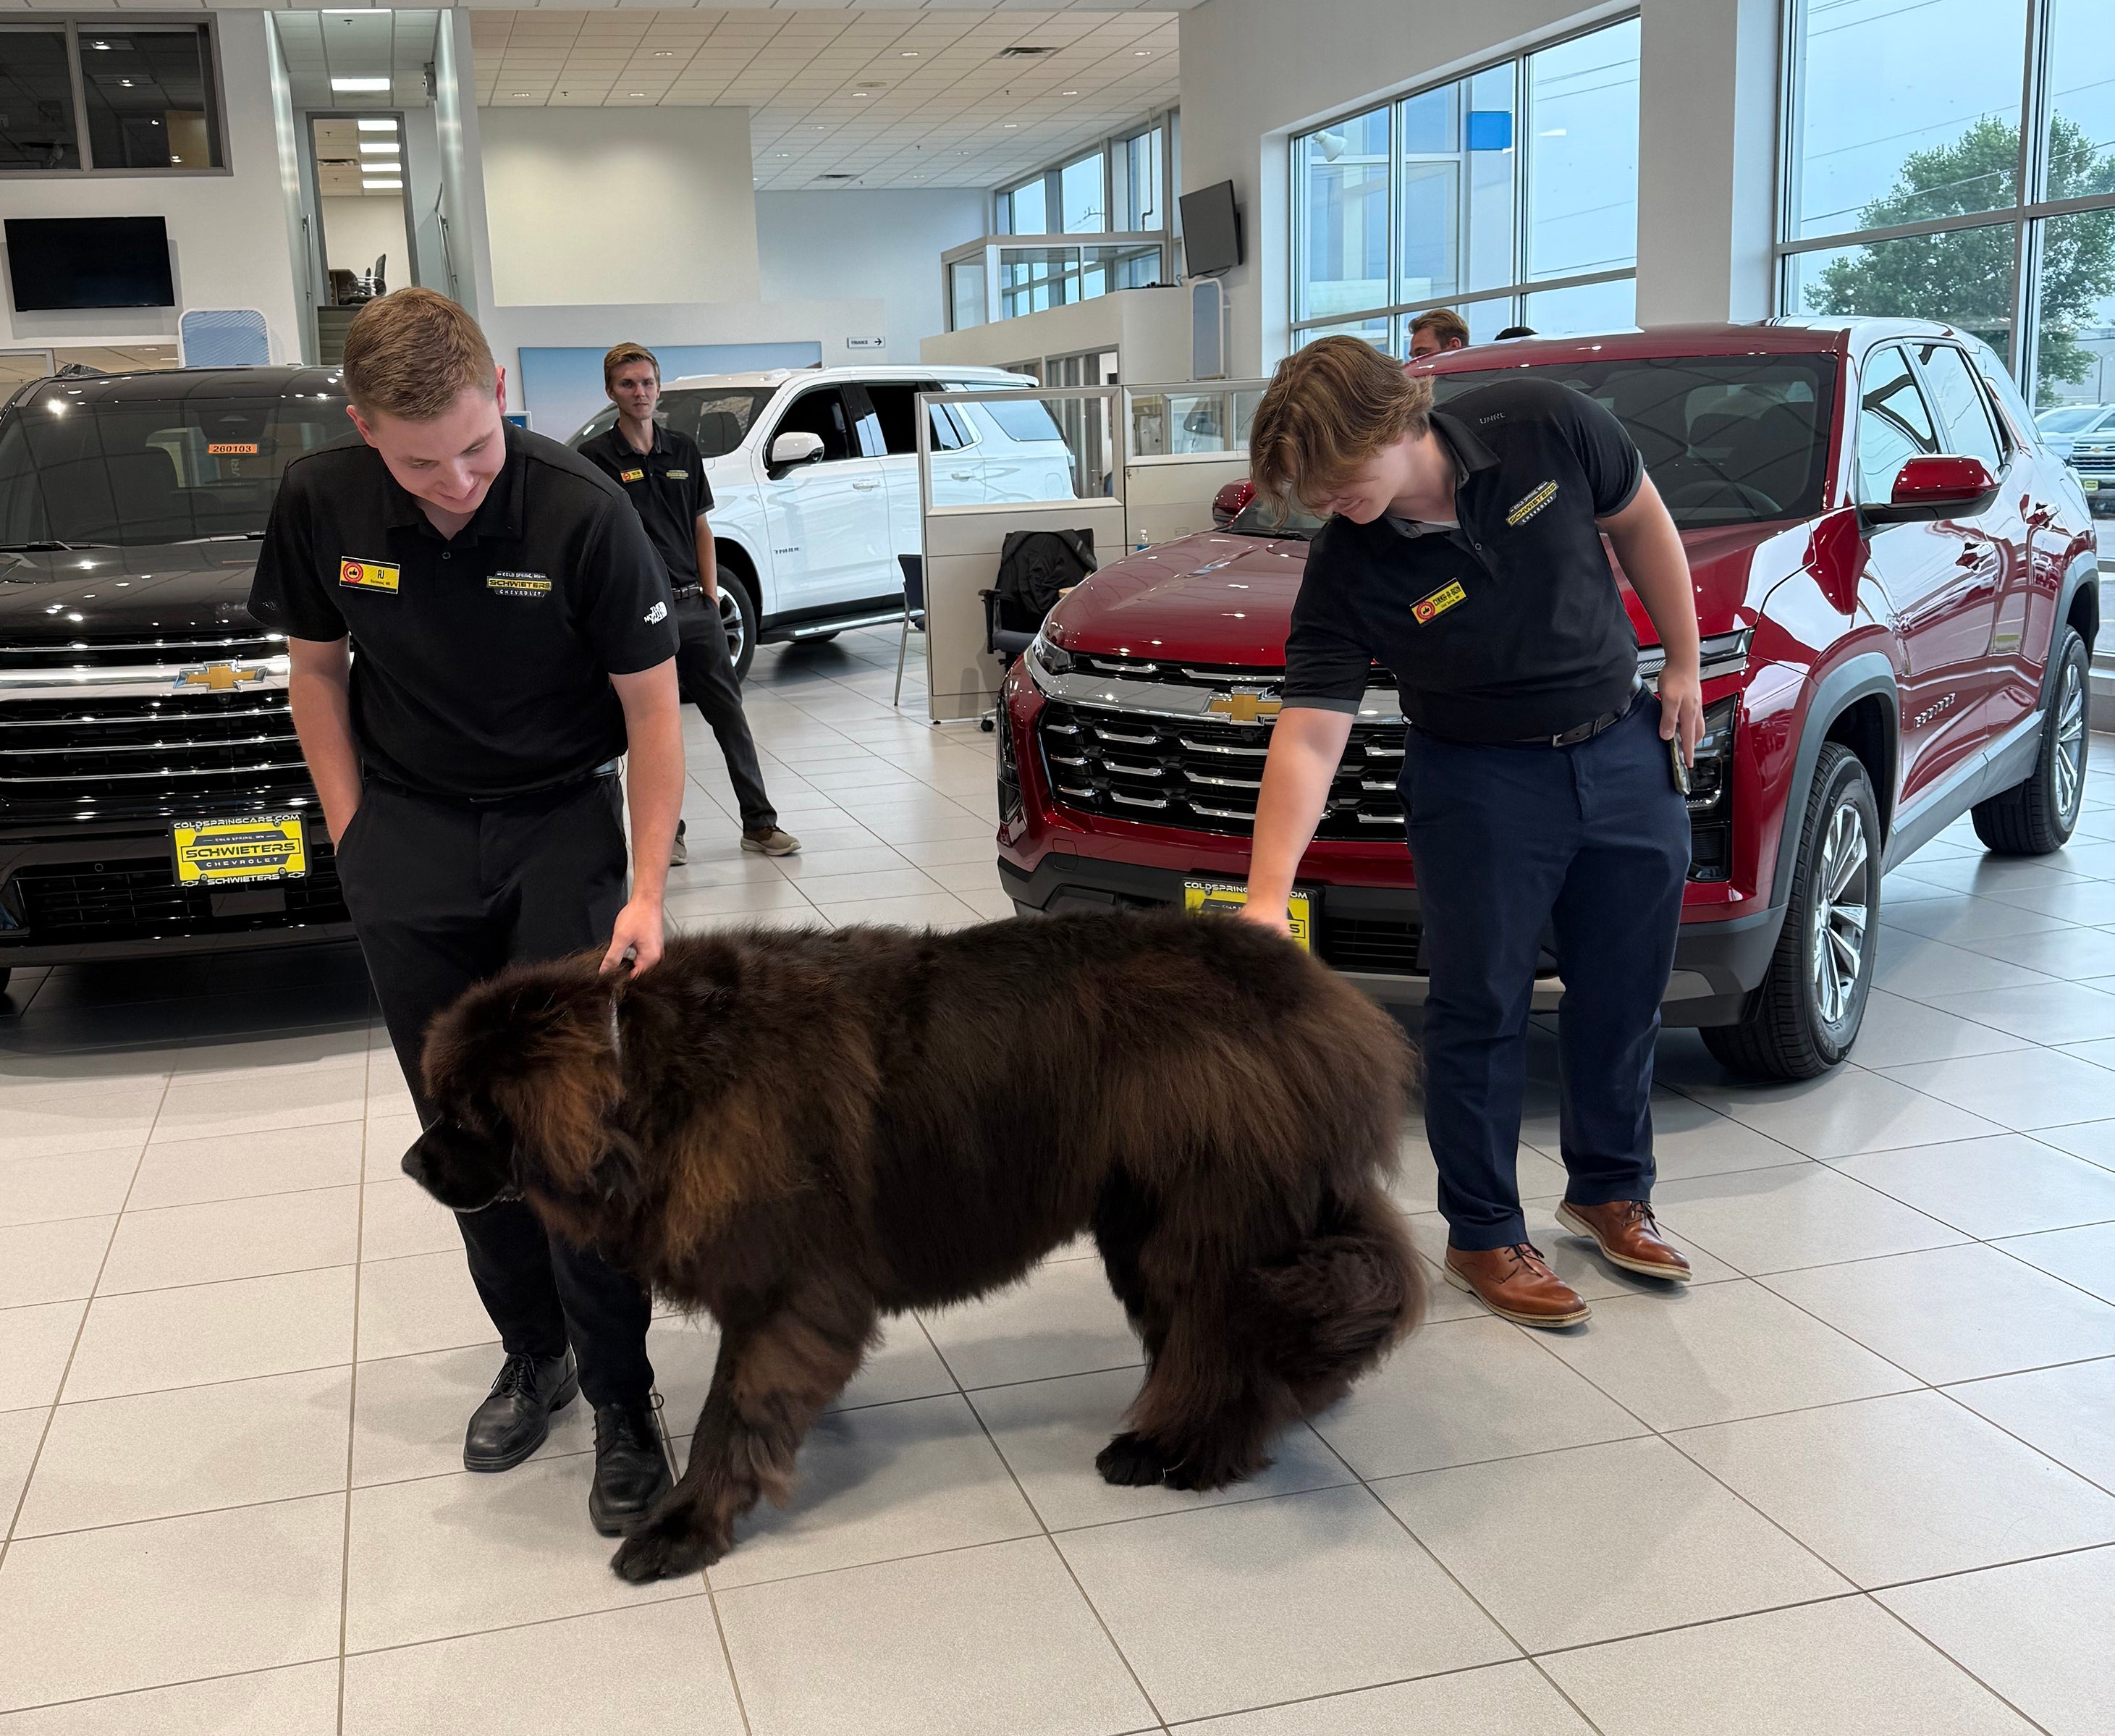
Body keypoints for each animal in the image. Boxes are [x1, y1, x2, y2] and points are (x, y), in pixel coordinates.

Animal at [404, 909, 1423, 1582]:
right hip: (1151, 1218)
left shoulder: (782, 1287)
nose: (413, 1162)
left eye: (461, 1116)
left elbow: (735, 1412)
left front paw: (684, 1523)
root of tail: (1318, 991)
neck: (647, 1078)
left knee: (1223, 1335)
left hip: (1201, 1216)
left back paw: (1177, 1450)